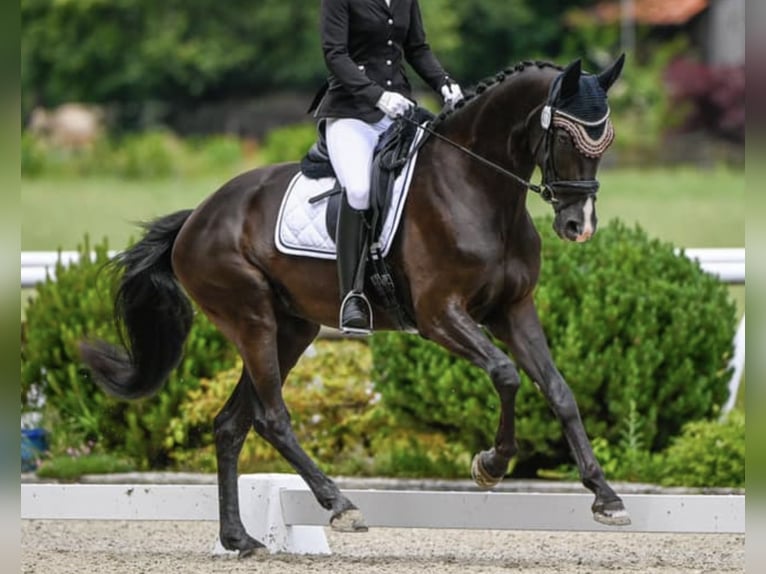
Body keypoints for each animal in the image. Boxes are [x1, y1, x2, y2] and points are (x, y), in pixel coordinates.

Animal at [79, 55, 632, 560]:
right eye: (567, 139)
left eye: (605, 143)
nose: (578, 226)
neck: (477, 185)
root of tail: (197, 217)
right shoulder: (440, 316)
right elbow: (506, 375)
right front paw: (491, 465)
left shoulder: (513, 309)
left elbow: (559, 391)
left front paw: (605, 497)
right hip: (252, 319)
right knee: (272, 417)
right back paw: (339, 505)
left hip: (292, 328)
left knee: (232, 423)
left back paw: (241, 539)